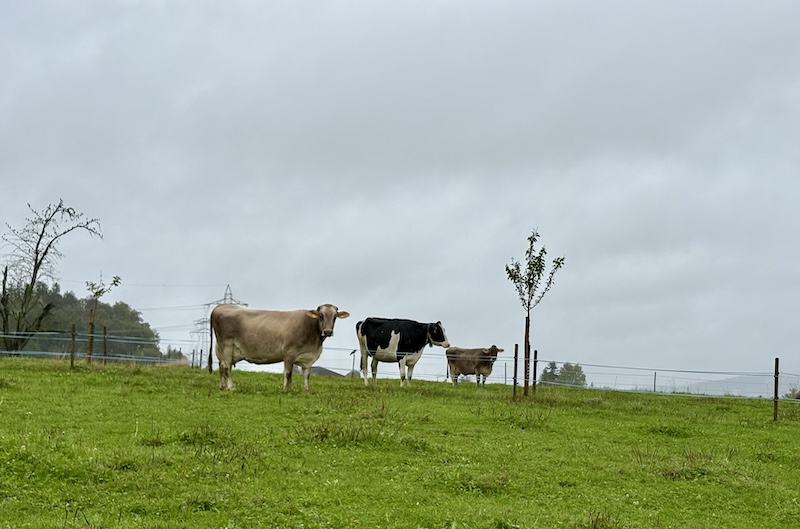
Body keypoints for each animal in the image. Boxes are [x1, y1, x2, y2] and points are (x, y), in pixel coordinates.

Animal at [210, 303, 349, 392]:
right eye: (321, 316)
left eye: (335, 317)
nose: (328, 331)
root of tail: (221, 306)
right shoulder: (289, 353)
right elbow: (288, 373)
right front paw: (287, 389)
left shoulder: (308, 358)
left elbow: (307, 374)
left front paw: (306, 390)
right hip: (227, 345)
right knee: (226, 366)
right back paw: (231, 387)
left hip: (221, 348)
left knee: (222, 367)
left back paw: (222, 387)